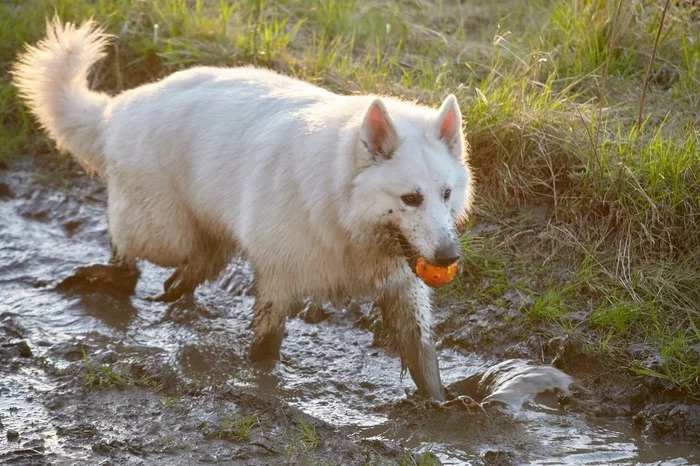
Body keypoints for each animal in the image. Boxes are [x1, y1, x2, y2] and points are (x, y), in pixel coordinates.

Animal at [15, 19, 476, 400]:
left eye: (446, 194)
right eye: (411, 198)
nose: (449, 257)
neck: (342, 208)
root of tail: (117, 109)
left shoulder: (402, 290)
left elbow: (422, 354)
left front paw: (440, 404)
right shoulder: (279, 277)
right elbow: (265, 344)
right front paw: (260, 382)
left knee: (202, 260)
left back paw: (176, 285)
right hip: (162, 230)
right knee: (131, 258)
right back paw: (107, 277)